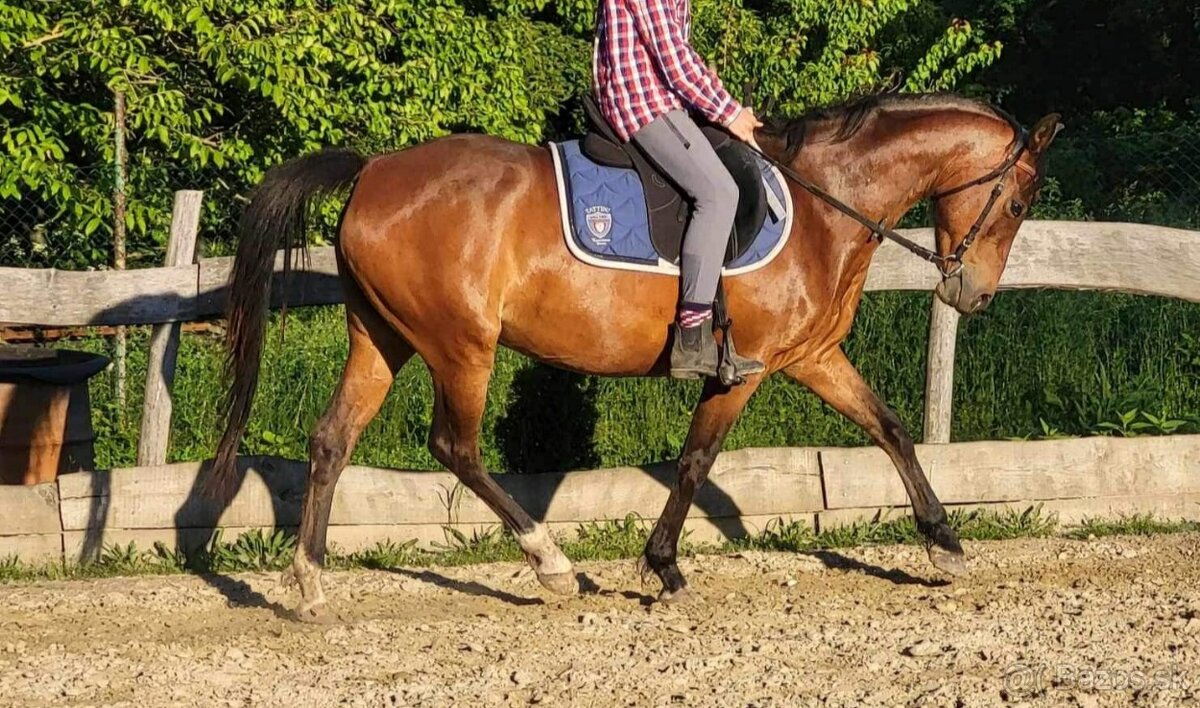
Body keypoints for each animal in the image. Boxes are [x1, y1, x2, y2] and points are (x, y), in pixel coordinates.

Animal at [209, 93, 1061, 621]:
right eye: (1019, 202)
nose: (973, 296)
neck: (825, 204)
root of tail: (375, 170)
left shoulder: (813, 353)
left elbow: (889, 428)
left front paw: (945, 544)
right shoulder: (748, 365)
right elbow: (696, 460)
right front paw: (663, 567)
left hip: (381, 338)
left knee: (332, 439)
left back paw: (310, 584)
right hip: (460, 346)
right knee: (455, 446)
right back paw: (550, 564)